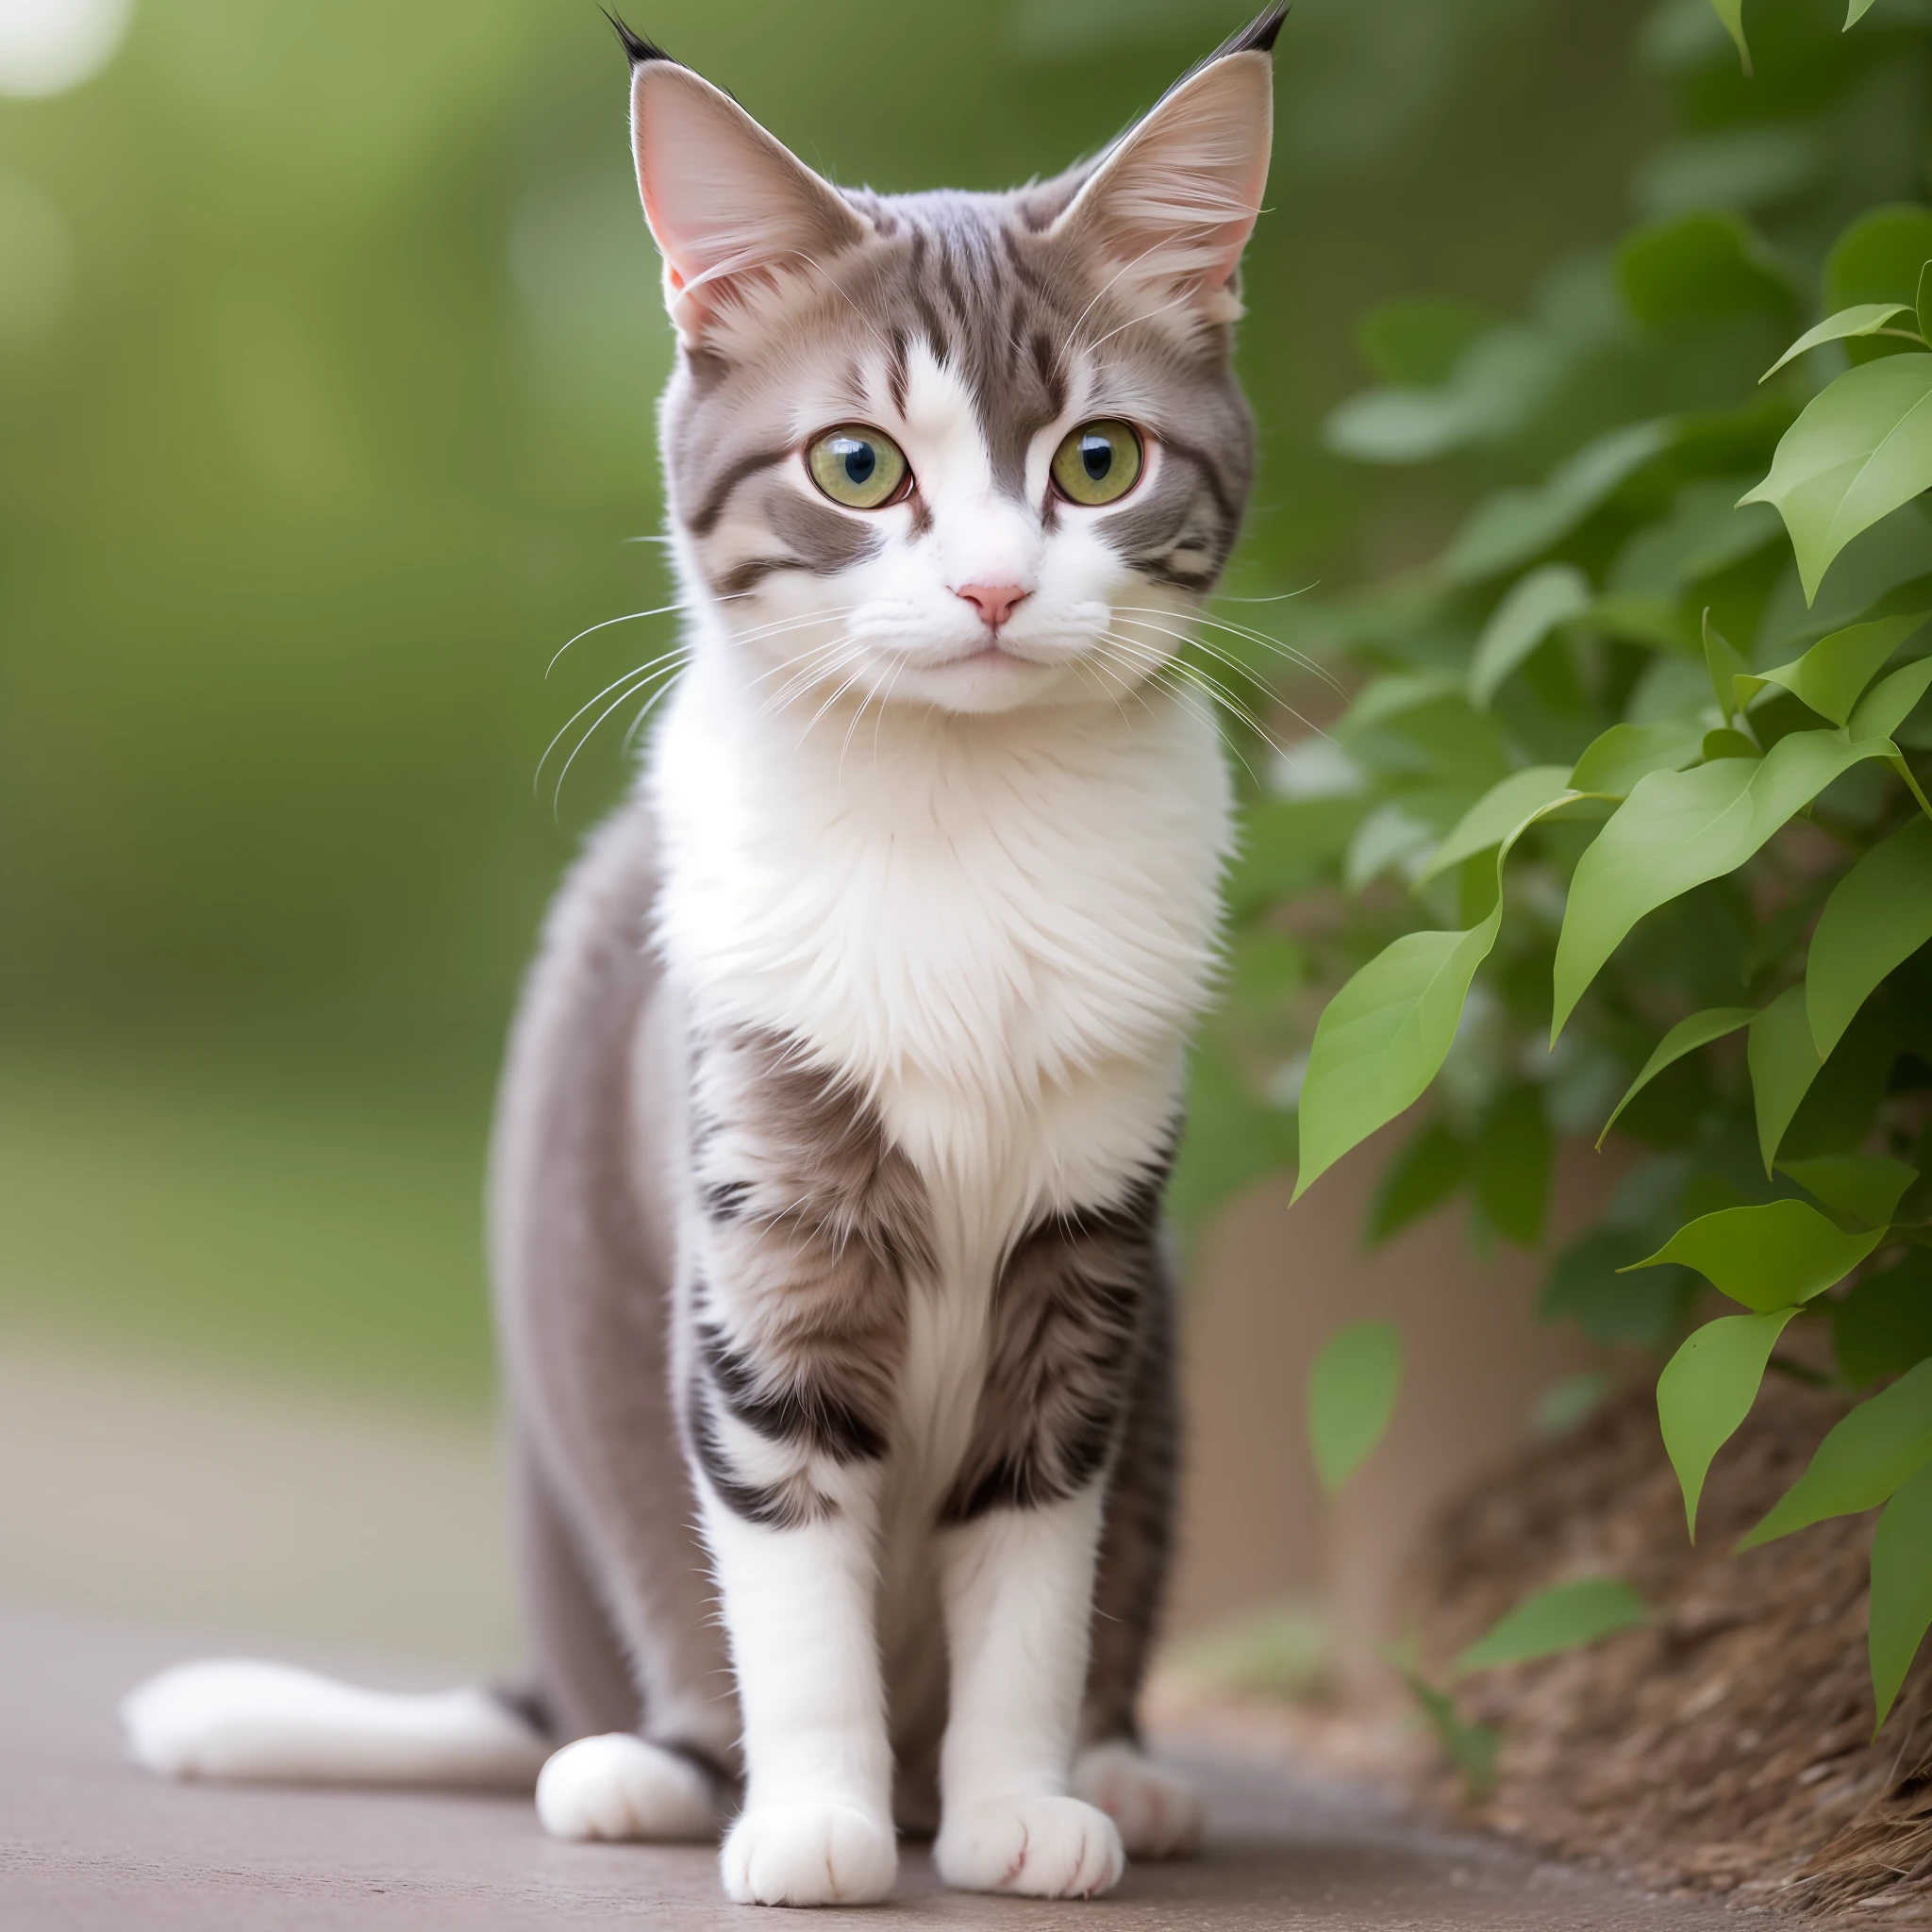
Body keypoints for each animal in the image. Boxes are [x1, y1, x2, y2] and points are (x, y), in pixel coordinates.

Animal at [128, 0, 1291, 1901]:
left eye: (1099, 461)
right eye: (857, 465)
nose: (990, 593)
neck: (956, 817)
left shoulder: (1090, 1247)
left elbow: (1036, 1563)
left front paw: (1019, 1805)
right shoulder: (757, 1202)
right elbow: (786, 1546)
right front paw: (815, 1820)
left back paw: (1129, 1775)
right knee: (662, 1684)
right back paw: (648, 1771)